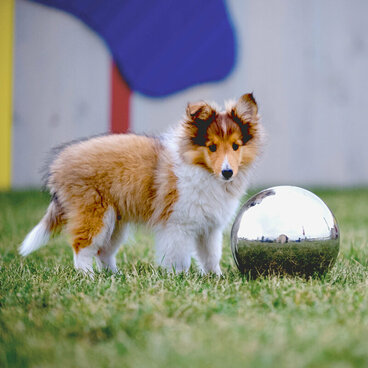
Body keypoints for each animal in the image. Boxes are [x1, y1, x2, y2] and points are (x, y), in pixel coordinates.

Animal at [20, 93, 264, 274]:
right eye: (212, 147)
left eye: (236, 146)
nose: (227, 172)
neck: (202, 170)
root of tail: (58, 165)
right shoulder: (178, 224)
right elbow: (179, 256)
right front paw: (178, 277)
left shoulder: (209, 227)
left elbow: (211, 256)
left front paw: (215, 277)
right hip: (94, 213)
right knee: (83, 247)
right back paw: (88, 277)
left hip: (115, 222)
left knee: (104, 252)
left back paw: (114, 276)